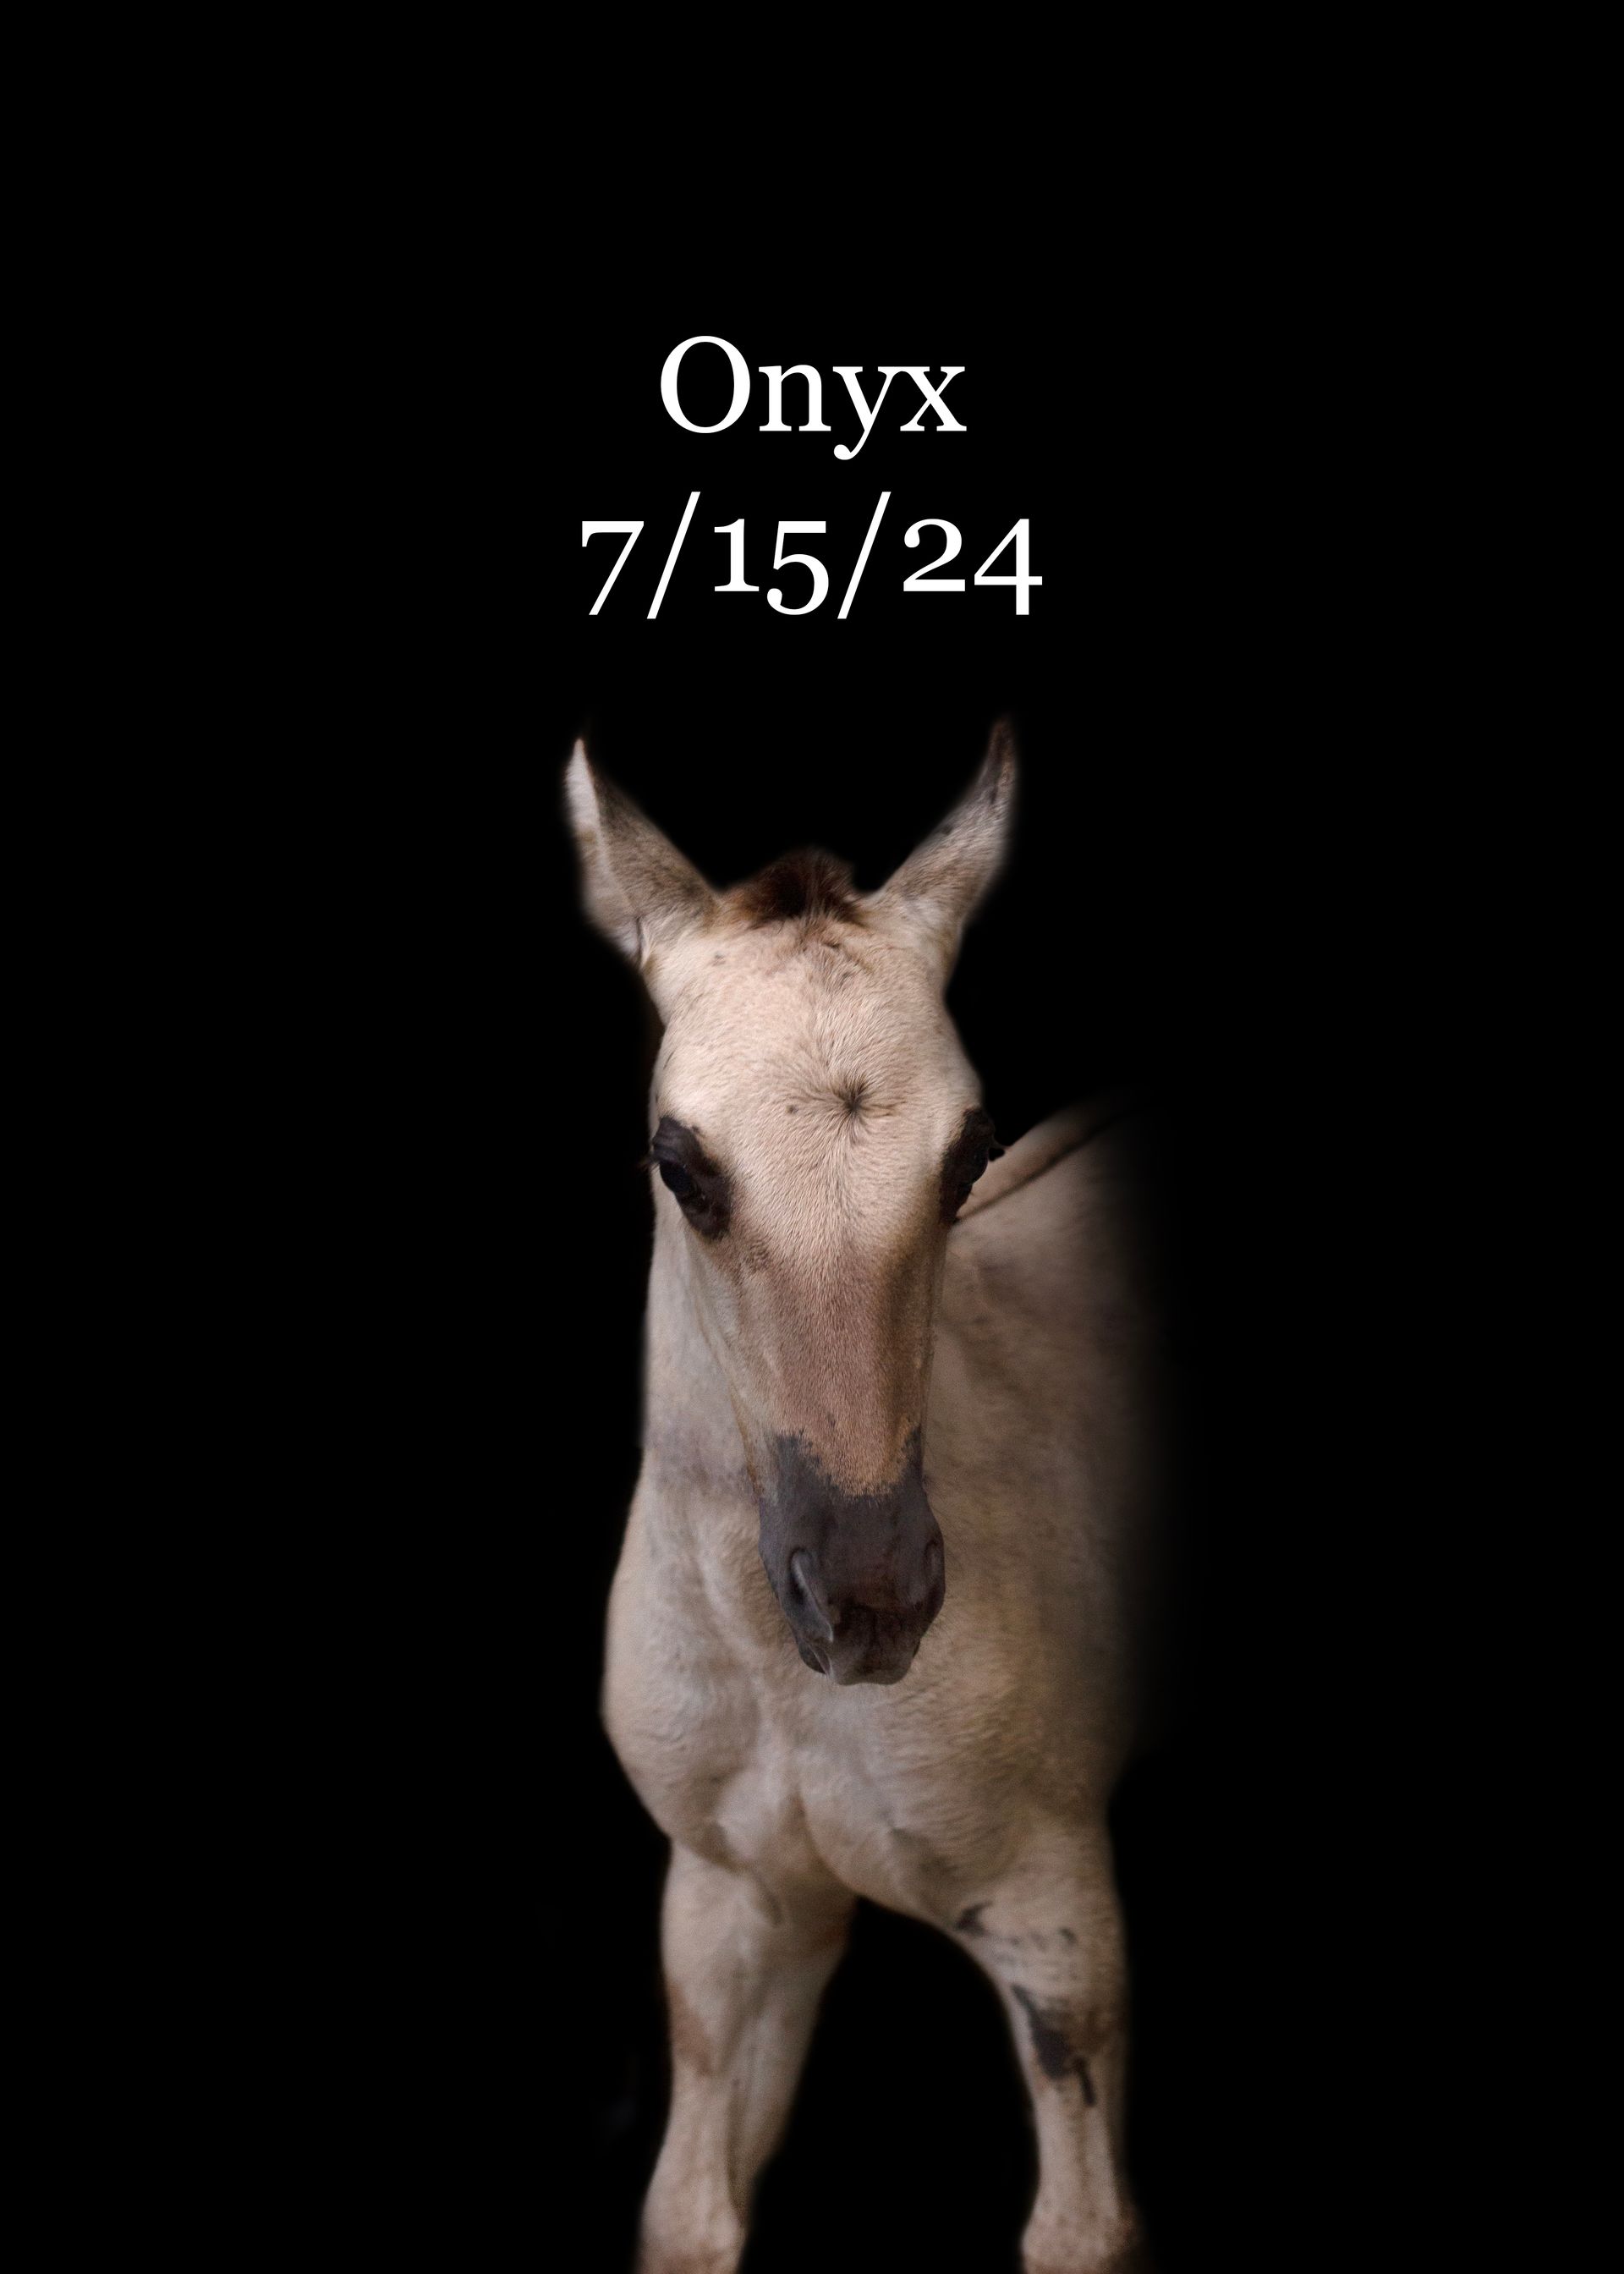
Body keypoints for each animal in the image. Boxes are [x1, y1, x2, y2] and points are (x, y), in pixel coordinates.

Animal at [566, 724, 1161, 2274]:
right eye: (681, 1161)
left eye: (970, 1152)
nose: (872, 1597)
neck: (786, 1684)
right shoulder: (736, 1908)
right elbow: (691, 2215)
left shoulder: (1059, 1931)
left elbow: (1082, 2229)